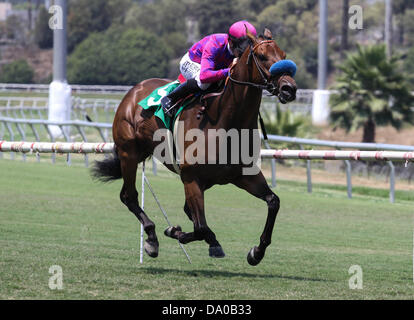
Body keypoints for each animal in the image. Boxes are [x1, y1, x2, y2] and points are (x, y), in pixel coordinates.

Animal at [92, 28, 296, 266]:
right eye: (262, 56)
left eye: (283, 55)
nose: (289, 88)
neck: (225, 120)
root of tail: (133, 90)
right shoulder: (190, 178)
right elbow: (200, 227)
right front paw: (174, 232)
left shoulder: (242, 174)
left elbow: (273, 202)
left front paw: (256, 252)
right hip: (129, 153)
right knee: (129, 196)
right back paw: (151, 238)